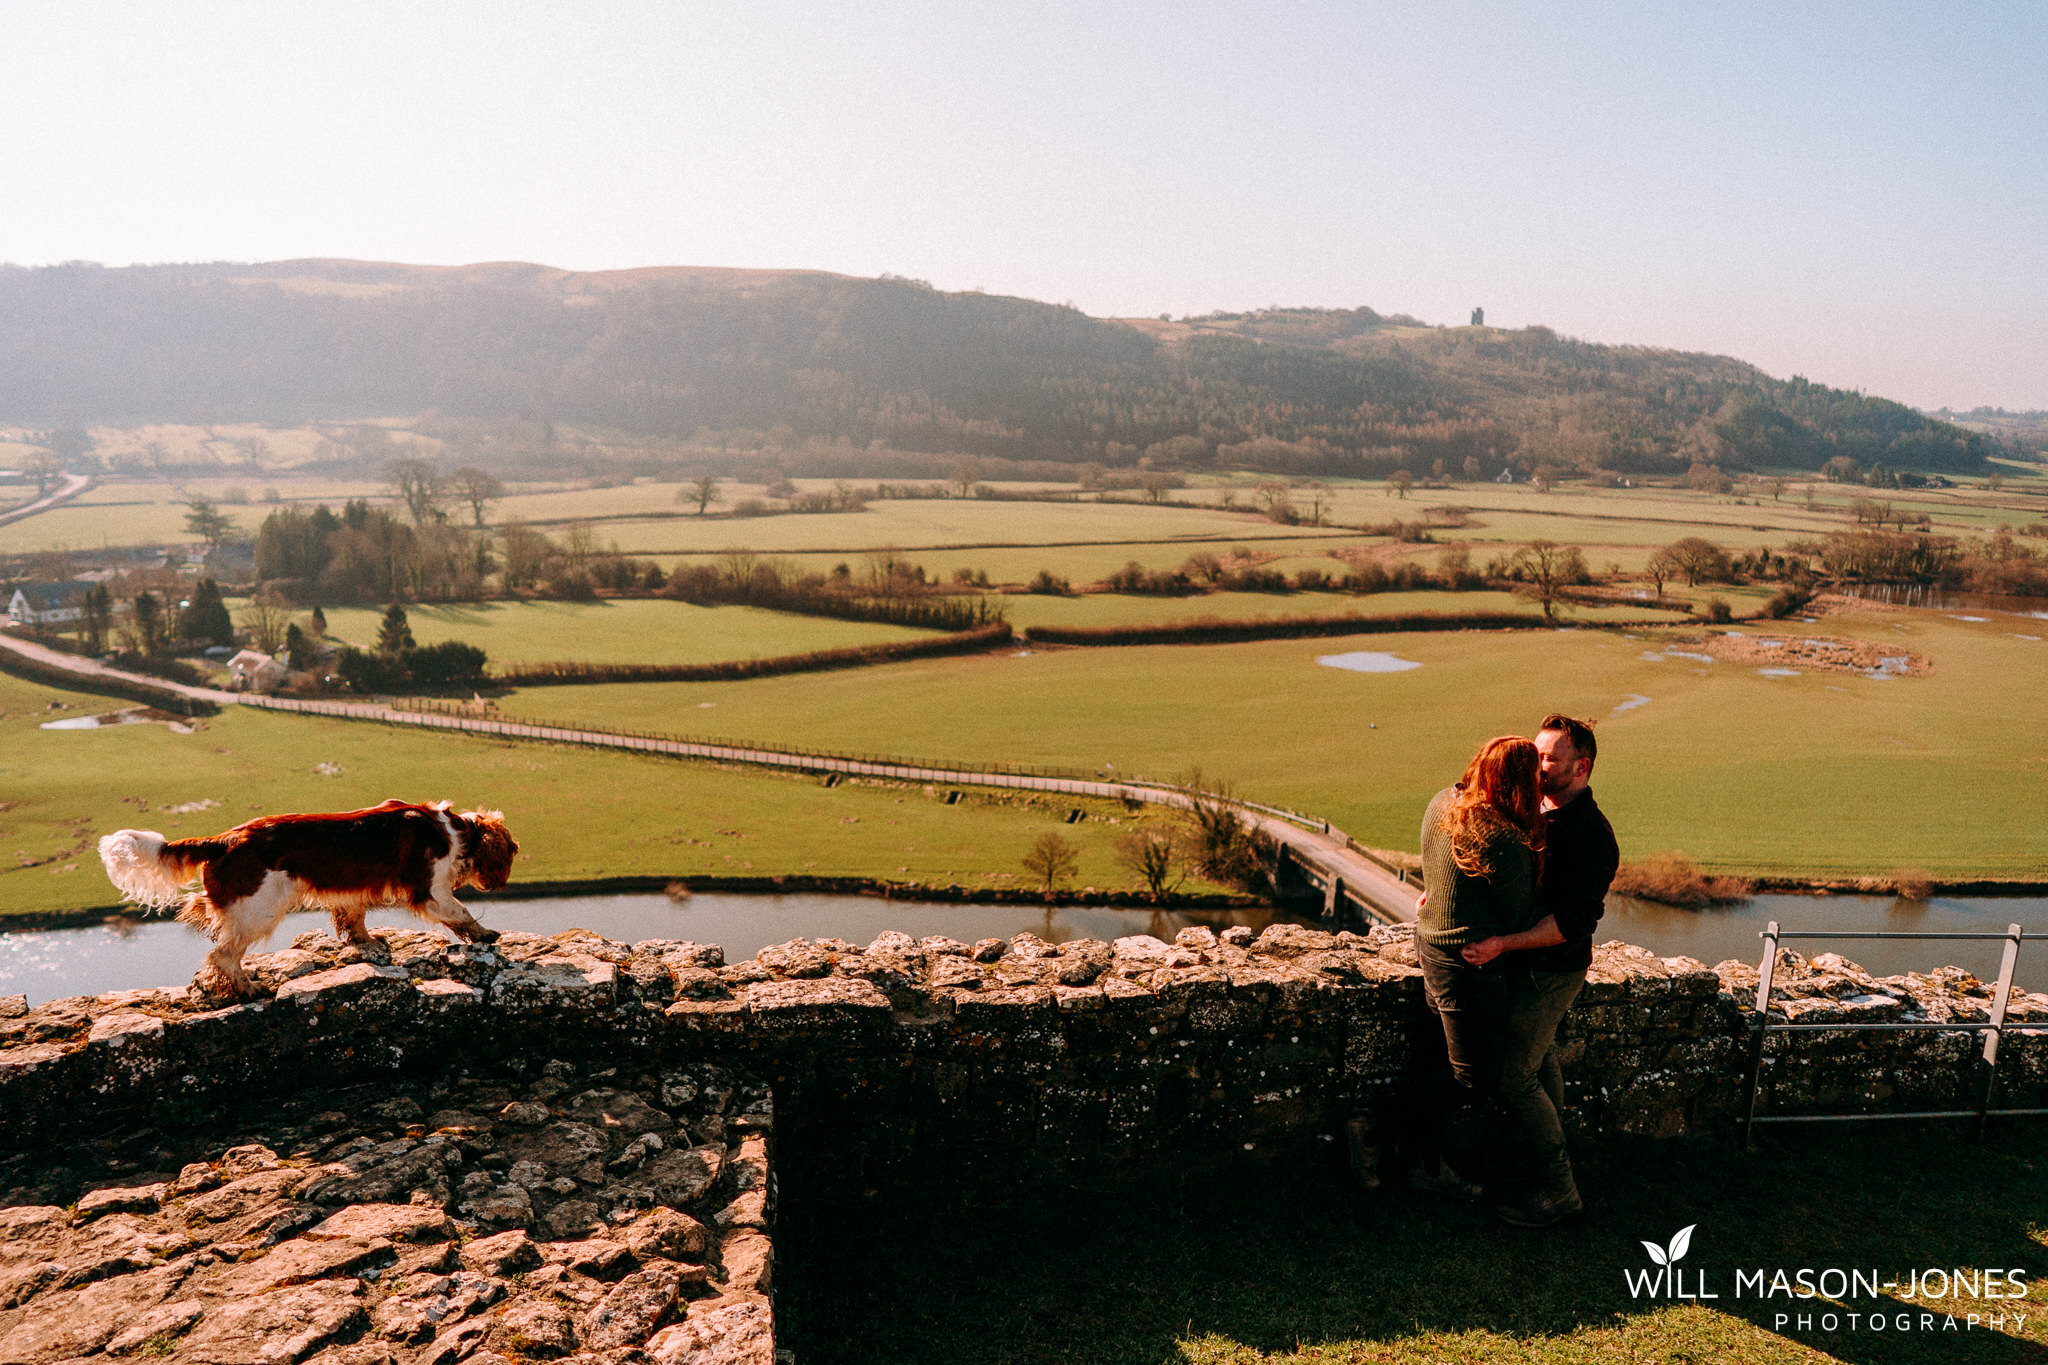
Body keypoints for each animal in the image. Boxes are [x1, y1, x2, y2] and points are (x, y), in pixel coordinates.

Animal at [98, 802, 516, 994]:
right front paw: (485, 935)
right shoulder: (431, 889)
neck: (454, 832)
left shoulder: (350, 891)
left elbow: (355, 920)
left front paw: (368, 944)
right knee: (223, 954)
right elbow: (461, 912)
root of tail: (224, 840)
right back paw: (248, 988)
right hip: (260, 910)